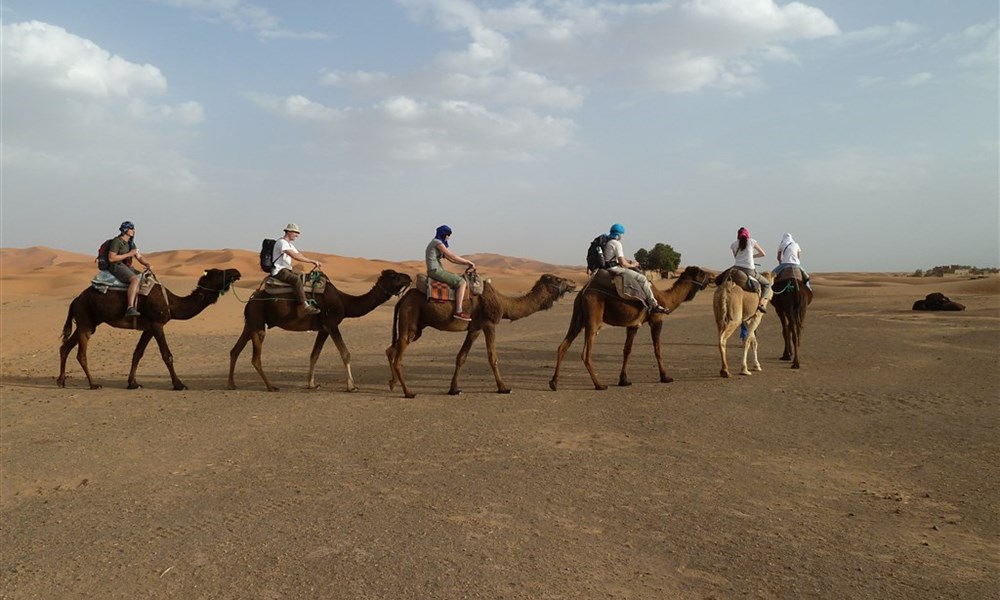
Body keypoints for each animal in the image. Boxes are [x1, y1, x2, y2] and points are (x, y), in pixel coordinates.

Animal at [60, 268, 244, 392]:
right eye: (218, 272)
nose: (236, 271)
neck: (171, 304)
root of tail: (75, 300)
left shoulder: (148, 328)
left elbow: (137, 354)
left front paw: (133, 383)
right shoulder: (157, 324)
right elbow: (167, 355)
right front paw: (179, 384)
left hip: (87, 322)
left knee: (65, 347)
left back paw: (61, 381)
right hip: (85, 320)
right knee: (81, 354)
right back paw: (93, 384)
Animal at [229, 268, 412, 392]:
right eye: (395, 276)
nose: (409, 277)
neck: (345, 302)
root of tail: (250, 300)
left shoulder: (323, 329)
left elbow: (314, 355)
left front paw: (311, 384)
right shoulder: (331, 324)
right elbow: (345, 353)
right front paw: (351, 386)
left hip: (250, 323)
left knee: (235, 350)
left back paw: (232, 383)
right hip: (257, 322)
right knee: (255, 358)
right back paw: (270, 386)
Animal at [388, 274, 580, 398]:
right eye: (558, 279)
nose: (573, 283)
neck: (503, 302)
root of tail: (402, 299)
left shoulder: (475, 328)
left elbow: (461, 357)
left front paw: (454, 389)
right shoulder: (489, 324)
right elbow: (492, 357)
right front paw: (503, 388)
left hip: (417, 328)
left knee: (391, 349)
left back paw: (392, 383)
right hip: (411, 319)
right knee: (398, 355)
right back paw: (408, 392)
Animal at [548, 266, 720, 390]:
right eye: (702, 272)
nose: (714, 276)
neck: (665, 299)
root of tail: (583, 291)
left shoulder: (633, 325)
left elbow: (627, 350)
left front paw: (624, 380)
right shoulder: (656, 320)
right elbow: (658, 349)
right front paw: (665, 377)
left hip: (578, 317)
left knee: (563, 345)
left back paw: (554, 383)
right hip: (593, 314)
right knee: (586, 353)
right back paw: (599, 385)